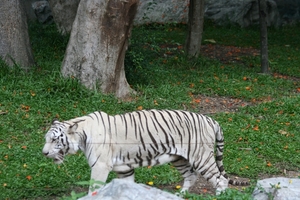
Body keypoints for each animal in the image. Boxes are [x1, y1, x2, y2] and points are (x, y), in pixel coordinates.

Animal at [42, 109, 248, 195]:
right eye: (46, 139)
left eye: (54, 140)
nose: (44, 153)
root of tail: (211, 120)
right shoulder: (124, 168)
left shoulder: (100, 166)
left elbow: (94, 188)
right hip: (179, 158)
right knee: (191, 176)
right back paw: (181, 194)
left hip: (201, 157)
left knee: (220, 179)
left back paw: (220, 194)